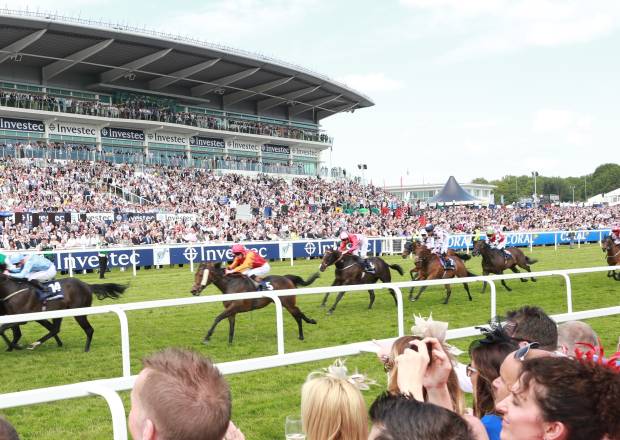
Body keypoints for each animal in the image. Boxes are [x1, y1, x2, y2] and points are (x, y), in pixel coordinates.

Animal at [189, 262, 318, 344]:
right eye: (195, 274)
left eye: (201, 275)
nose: (193, 290)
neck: (230, 284)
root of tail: (287, 278)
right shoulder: (232, 310)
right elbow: (231, 325)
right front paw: (230, 343)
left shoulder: (234, 307)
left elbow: (217, 318)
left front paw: (207, 337)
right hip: (286, 304)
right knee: (297, 315)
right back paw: (301, 334)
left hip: (288, 303)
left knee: (298, 314)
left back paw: (309, 324)